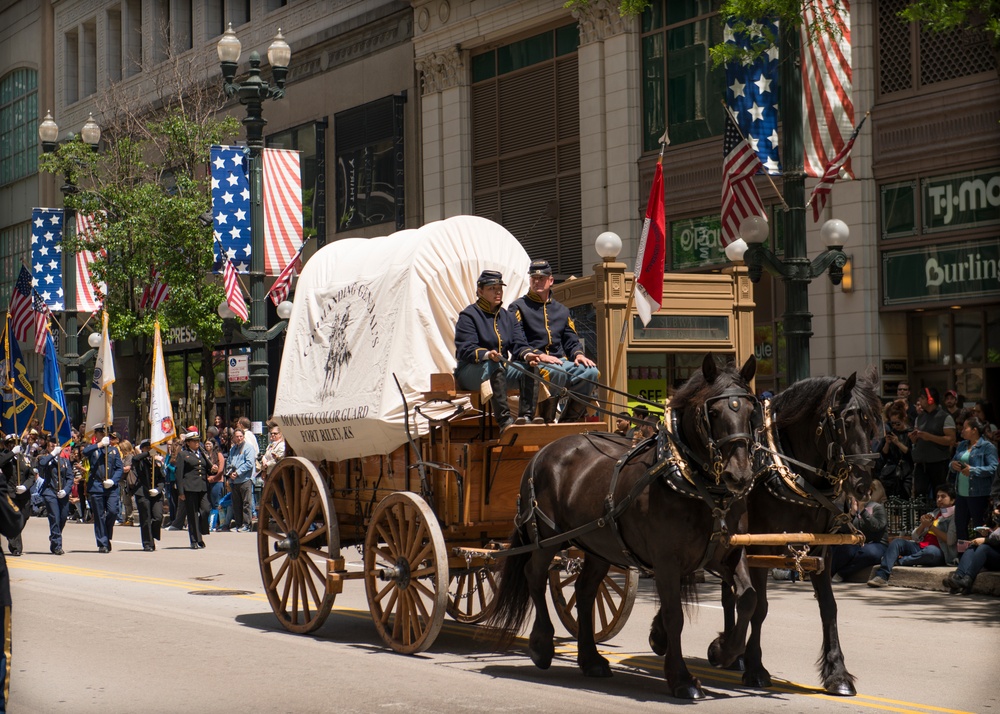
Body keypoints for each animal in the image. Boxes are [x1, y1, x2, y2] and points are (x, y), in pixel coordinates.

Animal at [486, 354, 756, 700]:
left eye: (749, 411)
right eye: (714, 412)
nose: (740, 475)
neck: (694, 483)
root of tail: (544, 451)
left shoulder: (726, 553)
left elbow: (747, 598)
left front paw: (722, 651)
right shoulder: (666, 561)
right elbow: (675, 615)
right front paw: (682, 679)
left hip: (598, 547)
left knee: (585, 592)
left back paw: (590, 659)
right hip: (546, 538)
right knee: (534, 574)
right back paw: (542, 645)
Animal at [708, 368, 880, 696]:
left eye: (873, 424)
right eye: (847, 421)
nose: (864, 485)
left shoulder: (822, 548)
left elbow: (829, 607)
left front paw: (837, 673)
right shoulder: (760, 547)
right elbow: (760, 607)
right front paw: (756, 668)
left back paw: (732, 653)